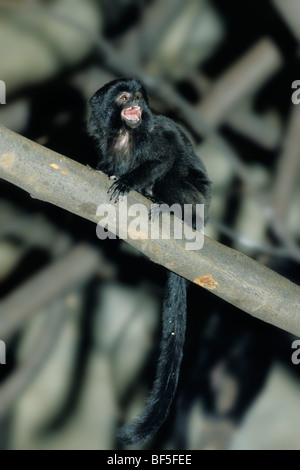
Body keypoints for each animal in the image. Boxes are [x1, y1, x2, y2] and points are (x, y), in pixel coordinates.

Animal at [86, 78, 211, 448]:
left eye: (140, 98)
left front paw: (130, 182)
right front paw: (107, 170)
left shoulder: (156, 135)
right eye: (125, 98)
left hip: (194, 199)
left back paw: (166, 206)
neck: (127, 135)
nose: (135, 107)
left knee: (173, 175)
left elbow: (165, 156)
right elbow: (109, 165)